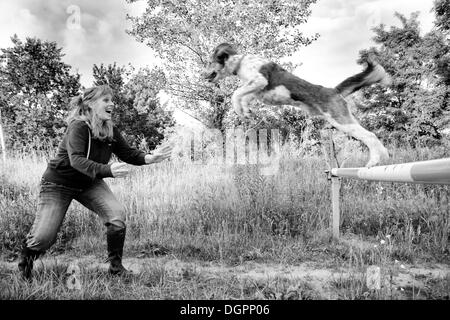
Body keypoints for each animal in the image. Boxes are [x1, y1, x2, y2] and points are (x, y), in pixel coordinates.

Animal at [202, 43, 392, 168]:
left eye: (210, 62)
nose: (203, 76)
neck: (241, 62)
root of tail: (333, 90)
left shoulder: (259, 80)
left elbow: (235, 94)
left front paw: (240, 109)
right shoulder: (255, 89)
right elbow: (243, 96)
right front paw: (245, 111)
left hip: (341, 120)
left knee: (370, 136)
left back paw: (374, 161)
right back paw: (385, 158)